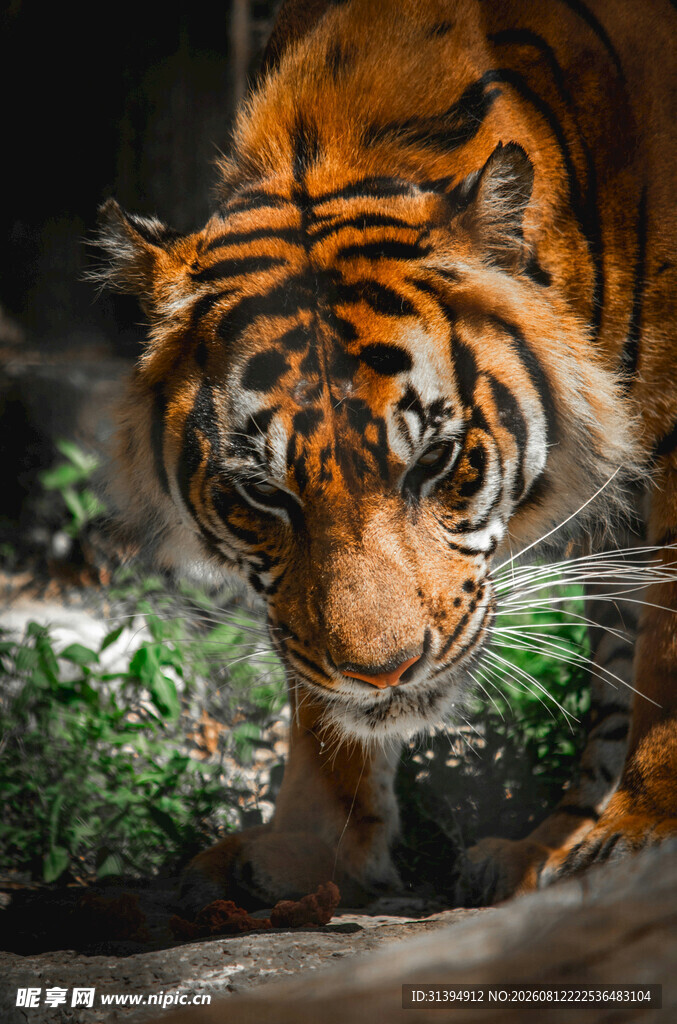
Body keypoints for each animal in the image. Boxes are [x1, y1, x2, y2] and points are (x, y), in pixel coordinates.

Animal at [95, 0, 677, 909]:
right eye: (263, 495)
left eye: (436, 462)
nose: (383, 675)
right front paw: (306, 847)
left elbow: (666, 656)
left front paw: (640, 834)